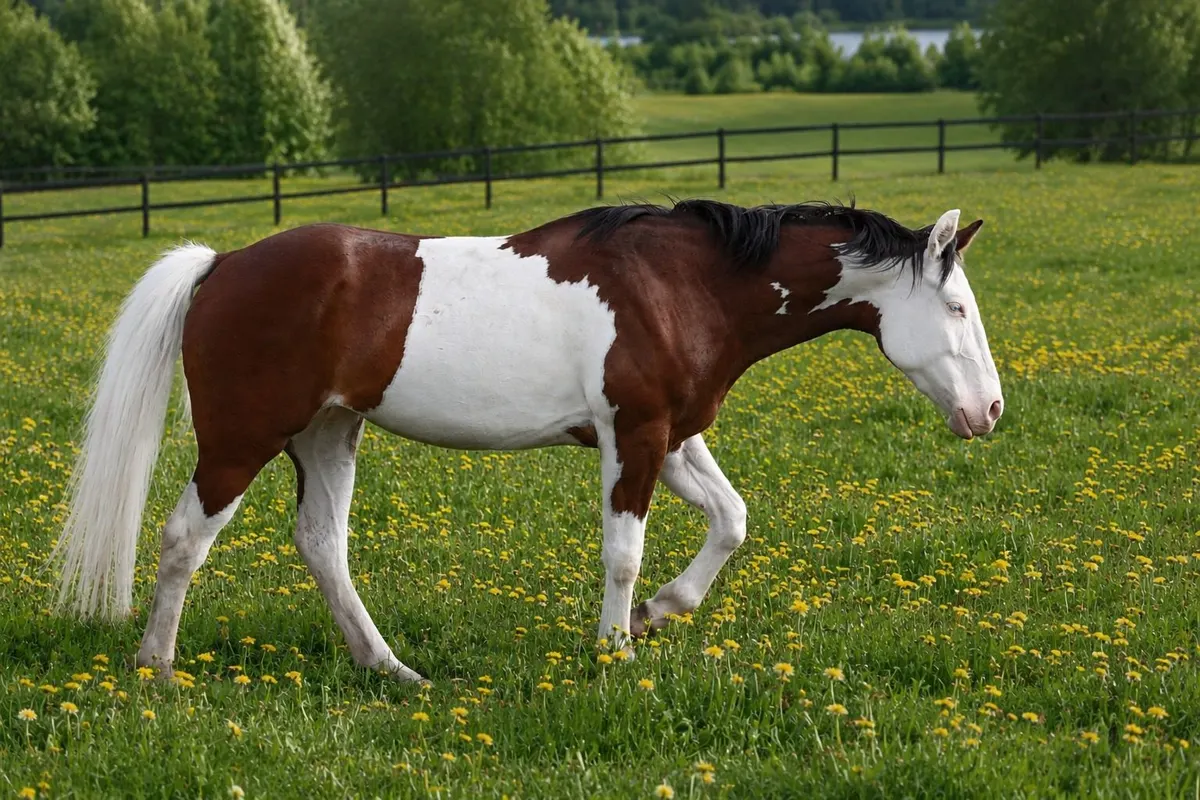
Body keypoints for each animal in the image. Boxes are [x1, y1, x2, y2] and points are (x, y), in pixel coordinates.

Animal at [52, 199, 1003, 682]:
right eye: (958, 309)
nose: (990, 412)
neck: (682, 282)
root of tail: (221, 265)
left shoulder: (668, 435)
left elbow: (731, 521)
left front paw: (659, 613)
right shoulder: (635, 435)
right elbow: (624, 550)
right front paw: (616, 647)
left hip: (327, 432)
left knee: (322, 543)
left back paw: (388, 668)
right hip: (241, 440)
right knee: (184, 537)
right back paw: (156, 666)